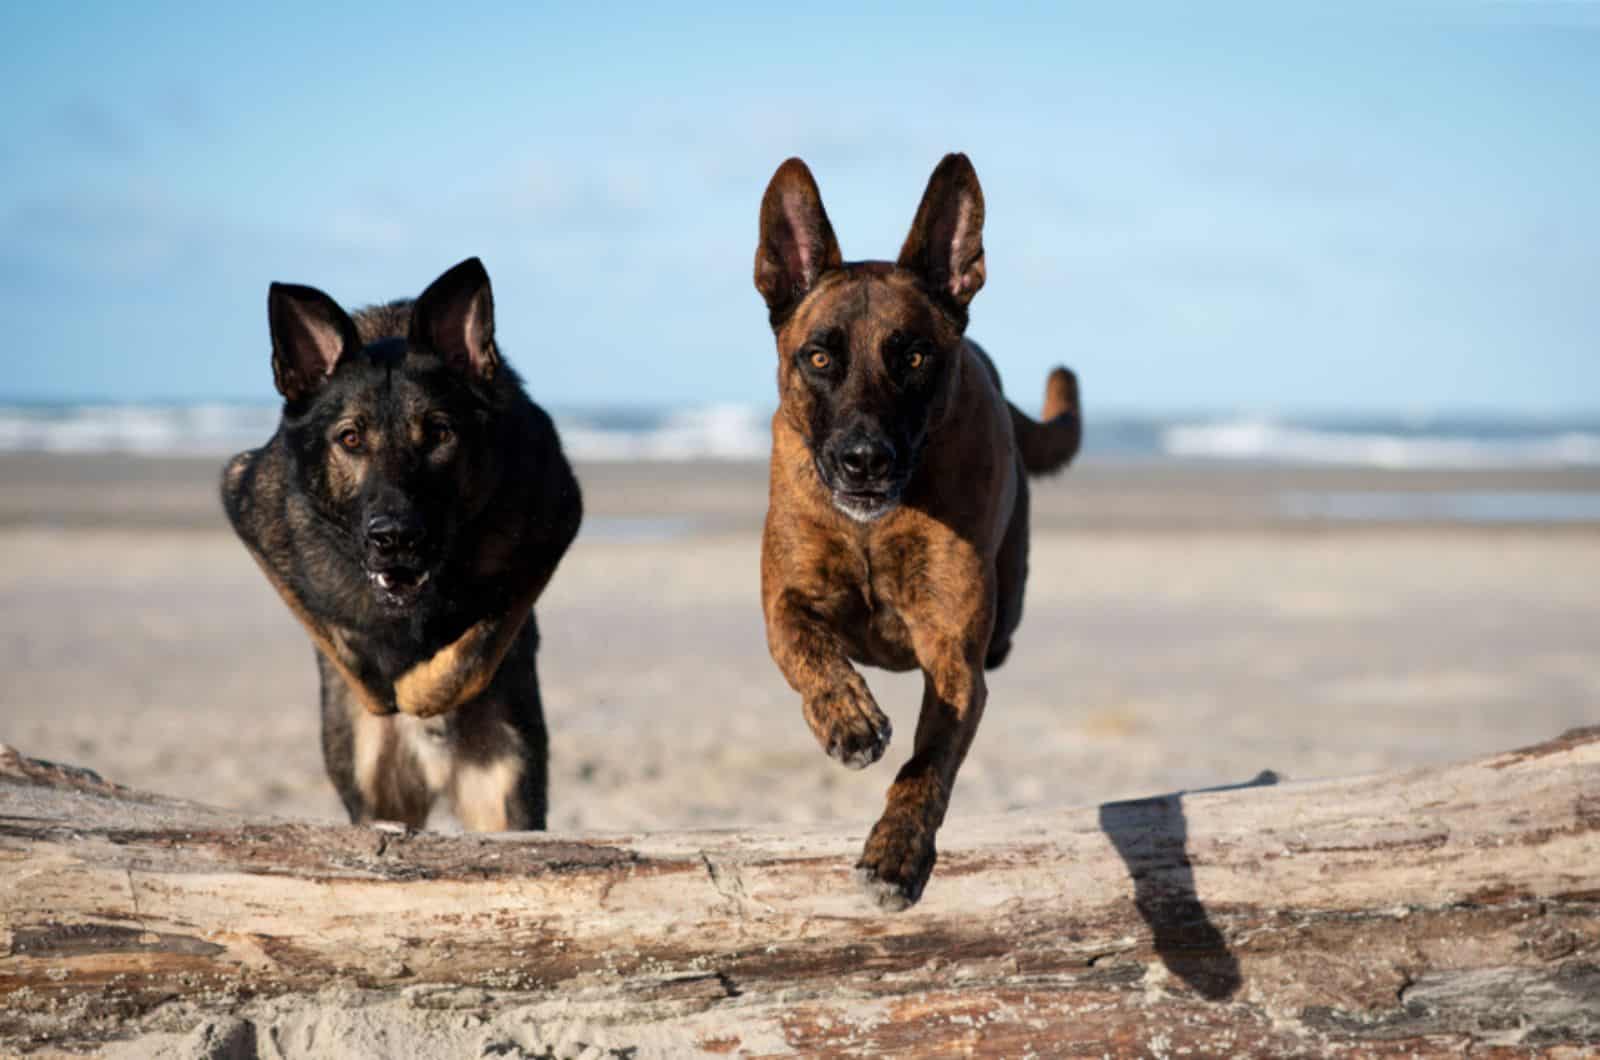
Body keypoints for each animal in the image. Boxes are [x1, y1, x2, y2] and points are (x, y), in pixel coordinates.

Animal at [222, 257, 579, 832]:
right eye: (350, 439)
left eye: (438, 433)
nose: (395, 538)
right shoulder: (249, 510)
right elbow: (338, 636)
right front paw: (382, 681)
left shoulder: (552, 527)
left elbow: (479, 643)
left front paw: (419, 688)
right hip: (376, 799)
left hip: (507, 798)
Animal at [755, 156, 1081, 915]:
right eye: (820, 359)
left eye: (913, 359)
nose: (864, 460)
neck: (875, 528)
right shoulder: (785, 599)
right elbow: (806, 647)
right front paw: (845, 714)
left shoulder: (954, 658)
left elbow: (925, 767)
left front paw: (895, 853)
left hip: (1007, 602)